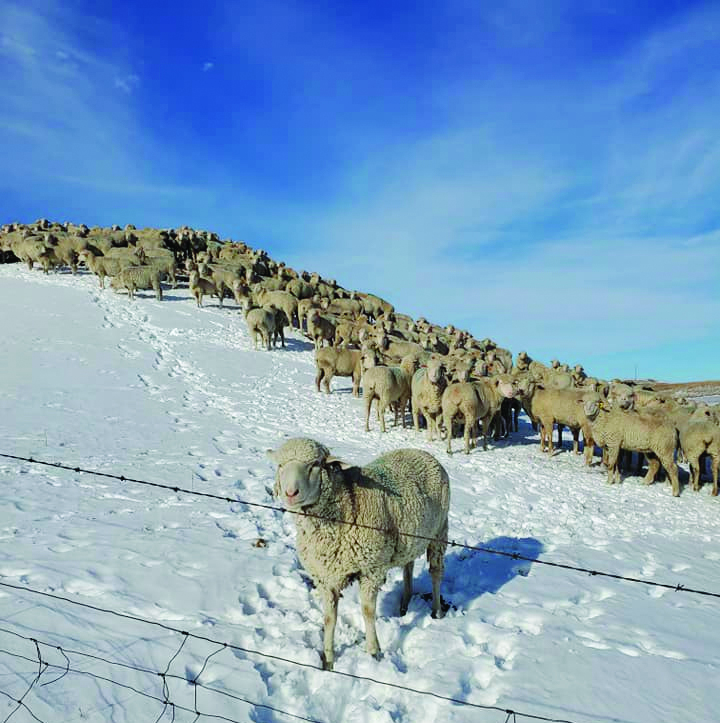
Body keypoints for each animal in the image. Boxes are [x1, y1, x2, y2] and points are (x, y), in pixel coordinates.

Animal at [267, 438, 449, 670]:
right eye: (280, 466)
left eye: (315, 464)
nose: (290, 493)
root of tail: (422, 452)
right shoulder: (325, 577)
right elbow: (329, 618)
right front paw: (328, 661)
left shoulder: (371, 569)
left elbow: (367, 611)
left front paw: (373, 652)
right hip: (410, 538)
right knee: (408, 566)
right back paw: (404, 605)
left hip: (439, 532)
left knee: (436, 572)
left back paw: (437, 612)